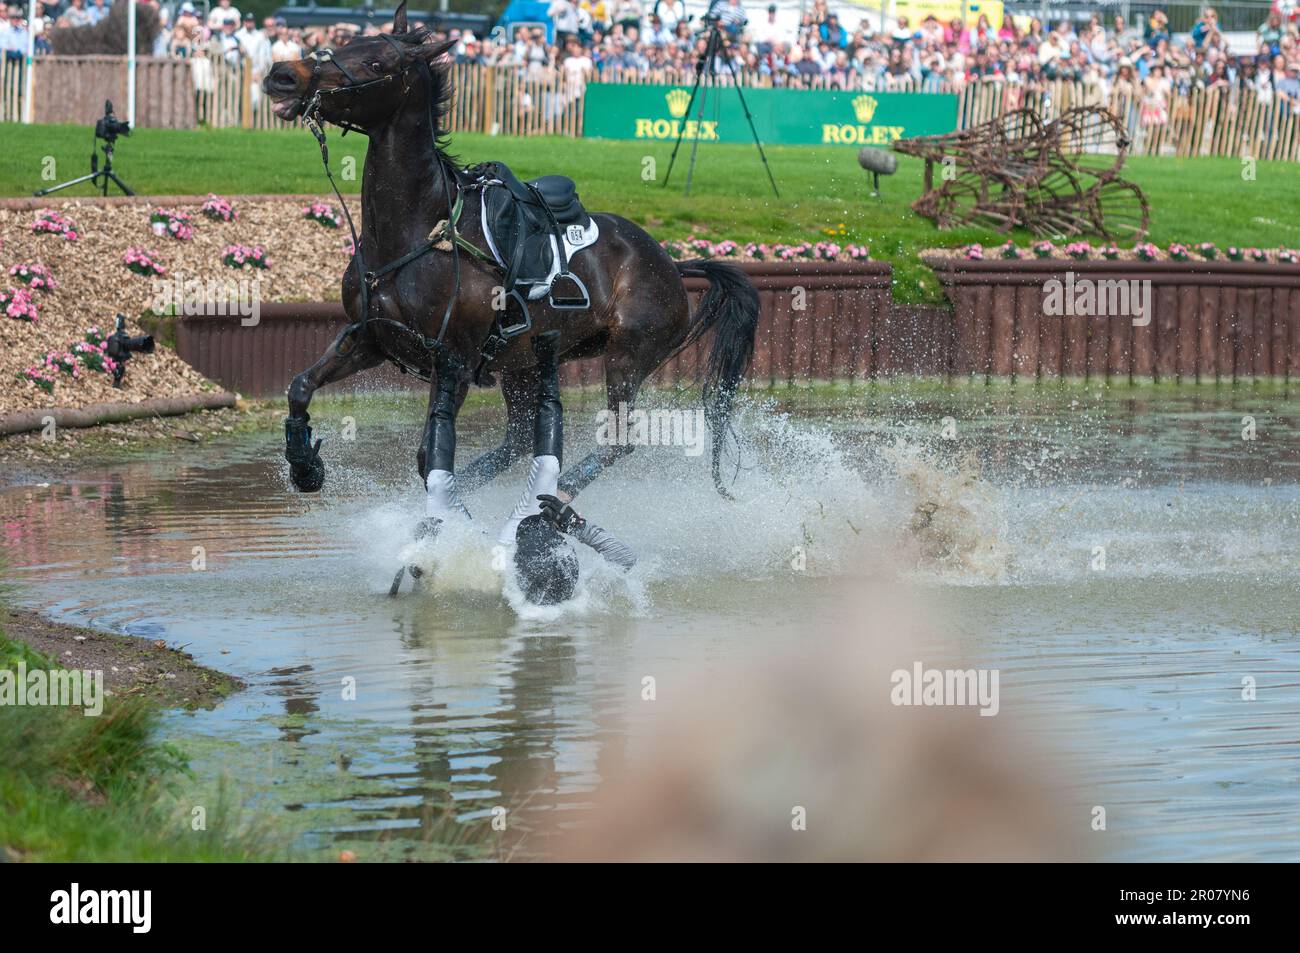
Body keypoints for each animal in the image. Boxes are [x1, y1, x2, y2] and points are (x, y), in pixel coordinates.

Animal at [258, 3, 759, 504]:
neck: (415, 235)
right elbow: (300, 387)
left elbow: (428, 455)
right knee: (518, 440)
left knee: (617, 440)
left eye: (377, 63)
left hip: (628, 357)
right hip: (526, 363)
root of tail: (671, 264)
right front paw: (305, 466)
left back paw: (554, 503)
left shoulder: (453, 362)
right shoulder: (369, 339)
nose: (282, 75)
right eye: (346, 43)